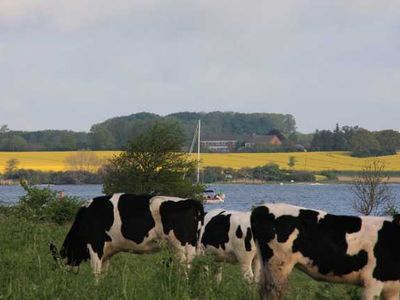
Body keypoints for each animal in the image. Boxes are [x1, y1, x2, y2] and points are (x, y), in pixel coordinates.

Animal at [50, 193, 205, 276]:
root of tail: (189, 201)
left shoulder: (95, 246)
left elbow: (95, 272)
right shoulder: (106, 253)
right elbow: (102, 273)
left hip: (180, 246)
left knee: (184, 269)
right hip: (189, 247)